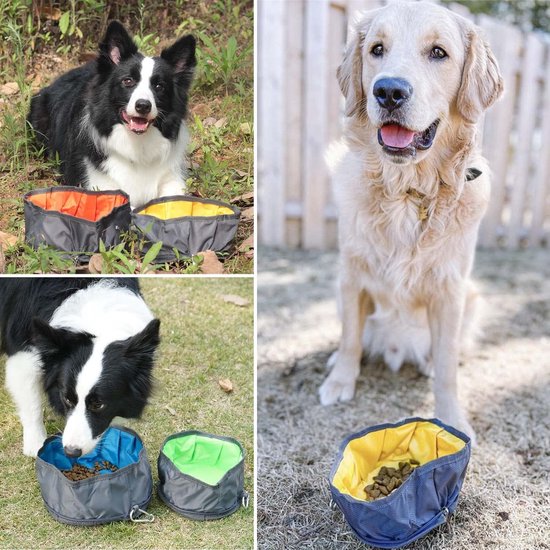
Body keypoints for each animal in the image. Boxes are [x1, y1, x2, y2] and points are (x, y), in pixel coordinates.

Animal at [0, 280, 160, 458]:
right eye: (67, 399)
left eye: (98, 405)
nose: (71, 451)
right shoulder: (22, 350)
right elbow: (32, 403)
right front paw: (36, 445)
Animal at [28, 21, 196, 209]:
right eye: (128, 81)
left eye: (159, 86)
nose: (143, 106)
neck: (136, 144)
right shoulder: (100, 187)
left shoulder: (172, 180)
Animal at [324, 0, 504, 442]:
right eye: (377, 49)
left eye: (438, 53)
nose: (389, 91)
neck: (406, 191)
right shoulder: (351, 274)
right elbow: (350, 336)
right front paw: (340, 380)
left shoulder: (451, 290)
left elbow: (447, 365)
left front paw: (452, 417)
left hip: (472, 296)